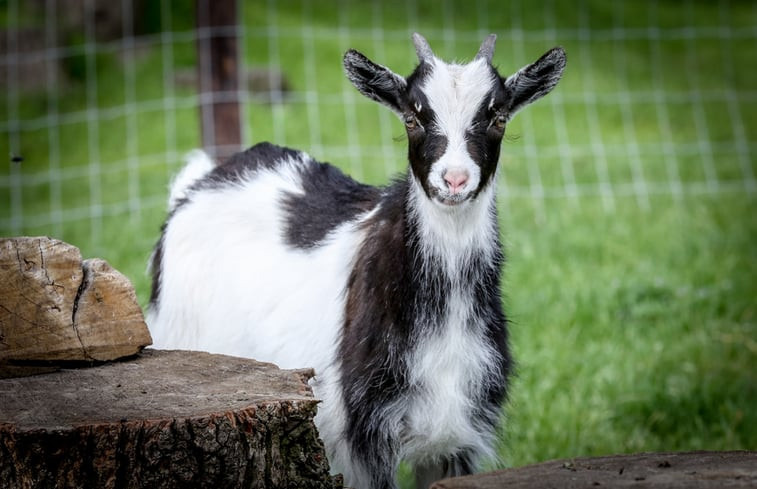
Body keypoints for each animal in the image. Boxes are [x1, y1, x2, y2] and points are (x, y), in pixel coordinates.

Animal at [148, 34, 564, 488]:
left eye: (498, 117)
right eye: (412, 118)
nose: (454, 180)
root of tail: (198, 182)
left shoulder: (456, 437)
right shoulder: (361, 440)